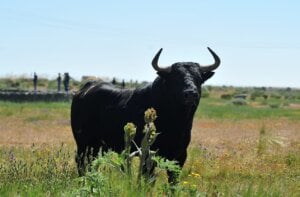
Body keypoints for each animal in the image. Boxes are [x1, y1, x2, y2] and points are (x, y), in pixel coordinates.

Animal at [70, 47, 220, 182]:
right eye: (175, 78)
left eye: (199, 78)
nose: (191, 93)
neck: (177, 121)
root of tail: (84, 90)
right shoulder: (148, 154)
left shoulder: (180, 156)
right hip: (83, 144)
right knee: (82, 164)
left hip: (96, 147)